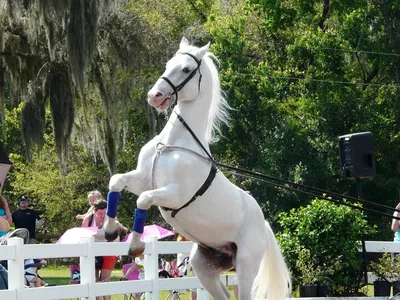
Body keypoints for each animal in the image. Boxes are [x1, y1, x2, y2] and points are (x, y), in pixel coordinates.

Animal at [104, 37, 290, 300]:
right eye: (168, 63)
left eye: (186, 69)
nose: (154, 96)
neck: (171, 144)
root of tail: (263, 224)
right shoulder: (142, 179)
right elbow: (117, 181)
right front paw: (109, 231)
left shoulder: (173, 193)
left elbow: (143, 199)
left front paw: (135, 245)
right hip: (204, 265)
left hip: (245, 266)